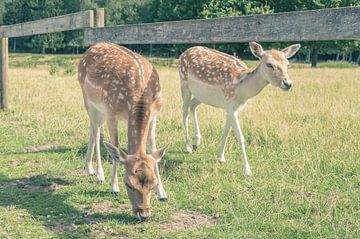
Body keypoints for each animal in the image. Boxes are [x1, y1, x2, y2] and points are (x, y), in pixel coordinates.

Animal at [78, 42, 168, 220]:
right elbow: (116, 145)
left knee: (92, 128)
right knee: (96, 131)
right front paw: (114, 187)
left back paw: (89, 168)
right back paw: (99, 174)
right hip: (88, 99)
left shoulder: (155, 114)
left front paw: (162, 193)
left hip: (98, 109)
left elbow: (153, 149)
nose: (144, 214)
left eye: (153, 182)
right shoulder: (111, 111)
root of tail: (90, 48)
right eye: (128, 184)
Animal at [180, 41, 300, 176]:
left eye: (287, 64)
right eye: (269, 64)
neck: (242, 89)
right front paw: (247, 170)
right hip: (184, 83)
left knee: (192, 105)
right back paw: (187, 147)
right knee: (184, 111)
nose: (288, 83)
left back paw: (196, 142)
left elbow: (226, 131)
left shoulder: (232, 107)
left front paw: (221, 158)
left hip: (202, 96)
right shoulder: (230, 104)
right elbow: (240, 136)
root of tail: (185, 52)